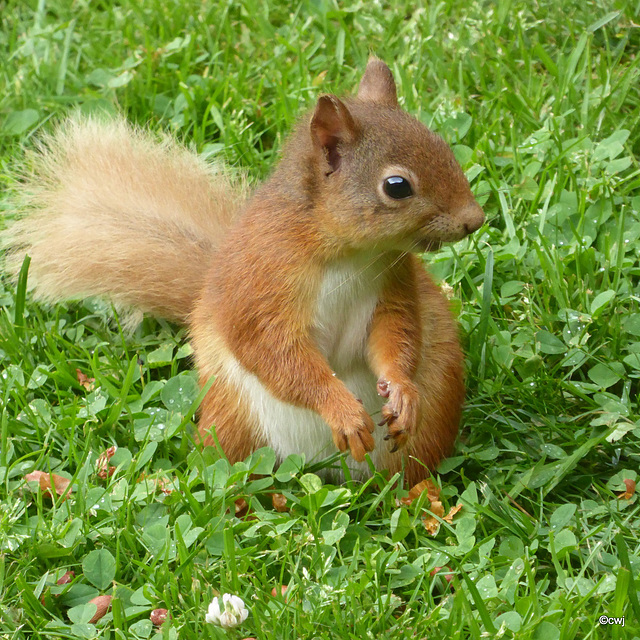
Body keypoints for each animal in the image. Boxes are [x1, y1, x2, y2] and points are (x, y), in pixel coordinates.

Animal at [3, 60, 484, 482]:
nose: (475, 219)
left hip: (433, 406)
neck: (350, 254)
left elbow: (396, 335)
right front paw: (341, 410)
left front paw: (401, 390)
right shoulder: (259, 283)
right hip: (231, 420)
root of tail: (327, 469)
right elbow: (275, 353)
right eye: (396, 186)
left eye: (442, 144)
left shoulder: (394, 282)